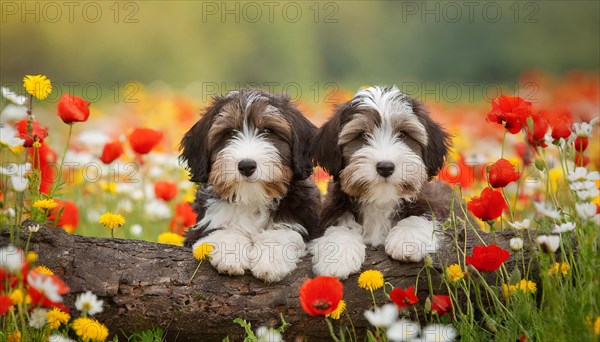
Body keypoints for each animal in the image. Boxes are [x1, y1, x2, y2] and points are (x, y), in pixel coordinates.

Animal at [180, 88, 322, 284]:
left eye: (268, 131)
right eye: (229, 133)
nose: (246, 165)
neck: (252, 198)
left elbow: (283, 231)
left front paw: (270, 261)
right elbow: (222, 227)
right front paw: (229, 255)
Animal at [310, 85, 450, 278]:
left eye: (403, 134)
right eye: (362, 135)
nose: (385, 167)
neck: (380, 200)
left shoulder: (436, 200)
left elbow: (424, 214)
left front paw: (407, 239)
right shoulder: (331, 209)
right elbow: (340, 226)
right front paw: (337, 255)